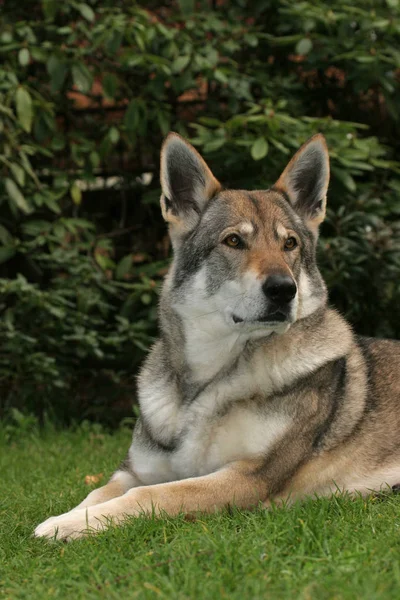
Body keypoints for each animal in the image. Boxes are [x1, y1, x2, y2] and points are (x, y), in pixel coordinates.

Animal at [35, 134, 400, 540]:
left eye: (290, 244)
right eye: (234, 241)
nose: (283, 289)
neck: (203, 387)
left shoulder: (247, 477)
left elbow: (150, 495)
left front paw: (67, 526)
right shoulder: (134, 470)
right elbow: (97, 492)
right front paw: (69, 517)